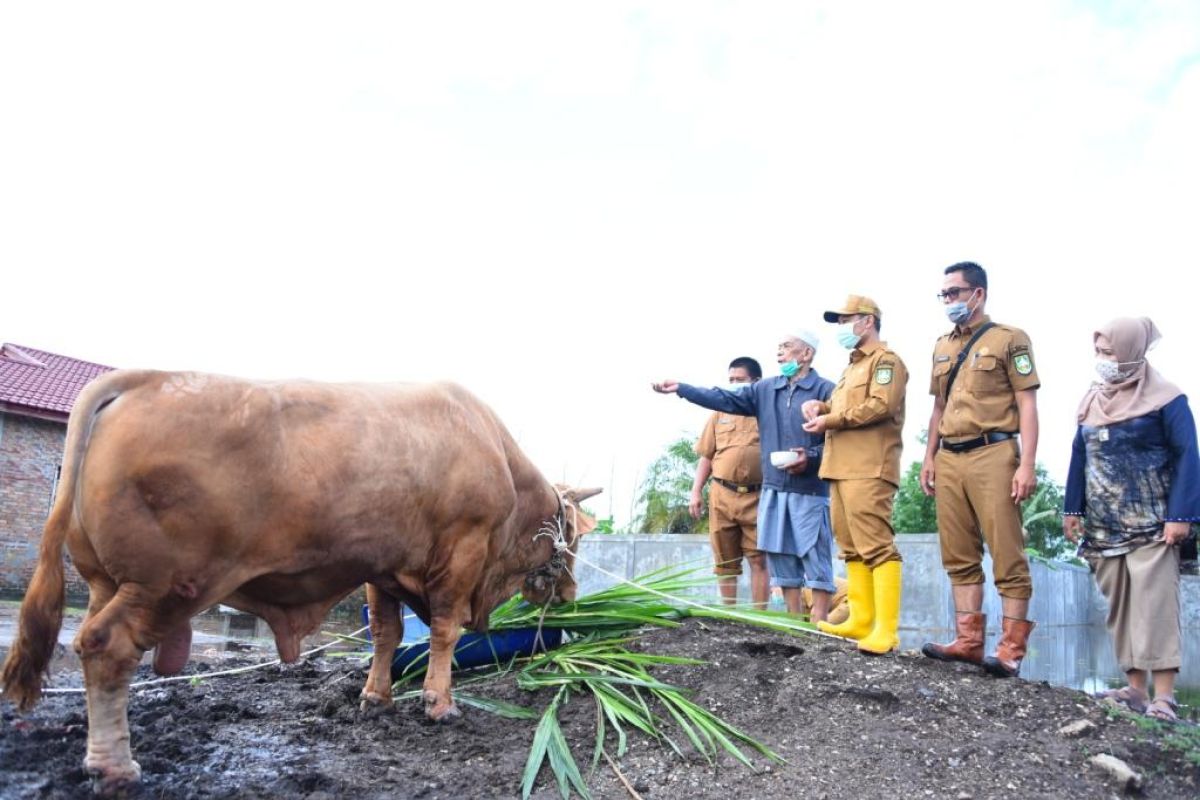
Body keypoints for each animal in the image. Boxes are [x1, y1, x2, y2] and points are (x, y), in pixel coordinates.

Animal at [0, 371, 600, 796]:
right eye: (573, 534)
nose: (571, 594)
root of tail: (137, 379)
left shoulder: (382, 567)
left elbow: (385, 634)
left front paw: (375, 697)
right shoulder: (461, 551)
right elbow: (445, 632)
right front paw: (438, 702)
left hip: (107, 582)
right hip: (159, 586)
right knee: (106, 647)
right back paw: (116, 765)